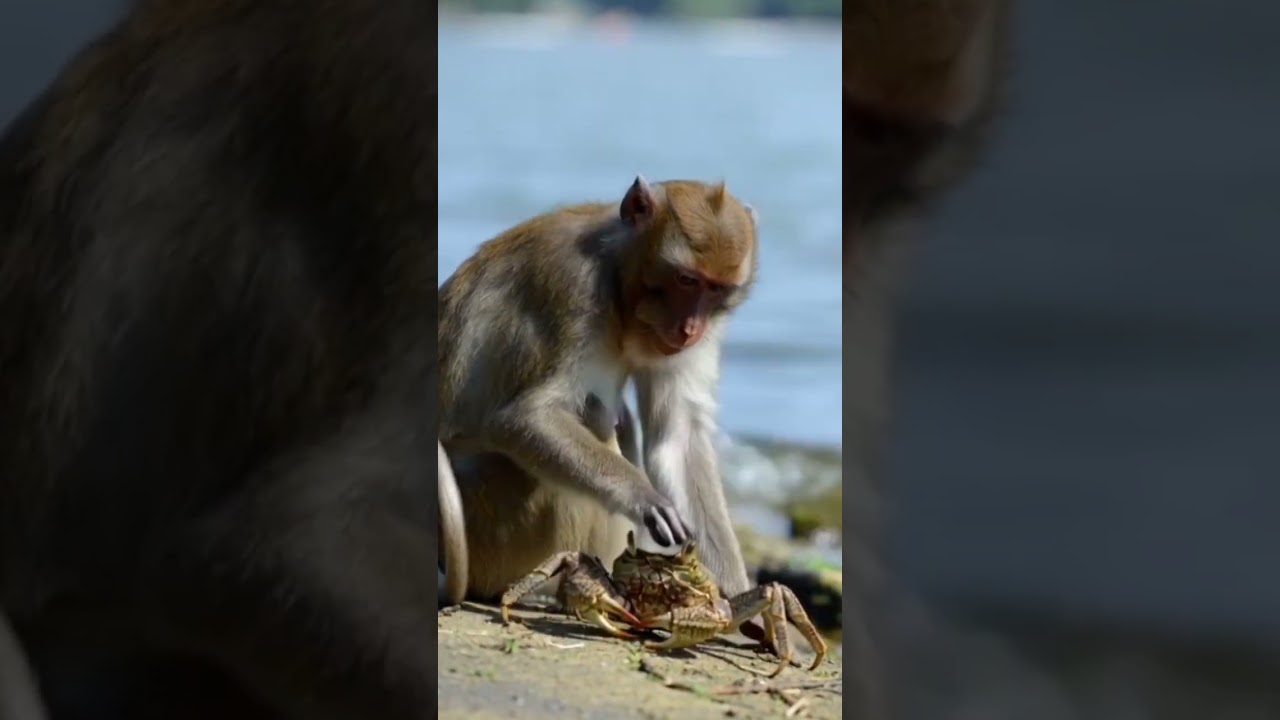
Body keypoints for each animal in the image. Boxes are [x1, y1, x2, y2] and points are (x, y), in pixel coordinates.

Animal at [437, 177, 759, 617]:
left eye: (716, 289)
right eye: (686, 280)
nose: (691, 328)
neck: (618, 287)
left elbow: (678, 439)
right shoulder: (570, 285)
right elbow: (525, 418)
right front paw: (642, 497)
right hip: (492, 526)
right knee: (592, 420)